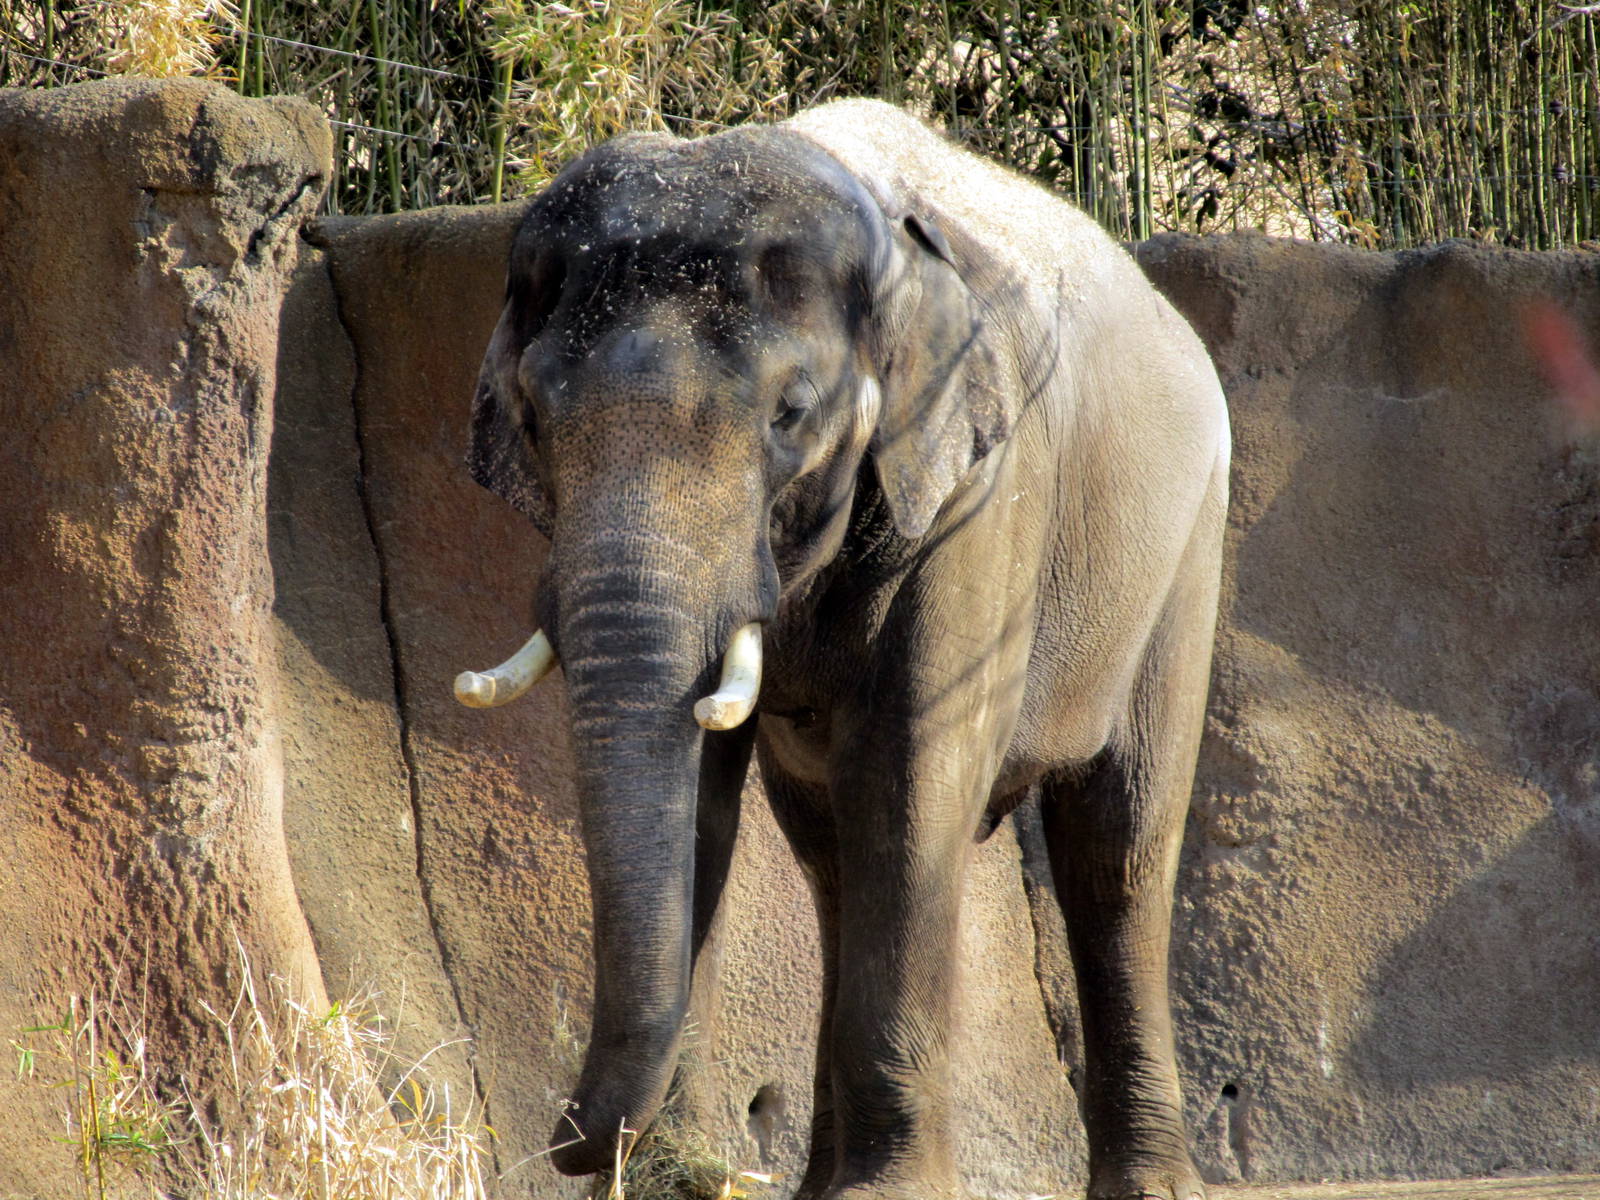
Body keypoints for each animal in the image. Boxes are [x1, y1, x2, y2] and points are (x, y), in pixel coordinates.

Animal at [458, 98, 1229, 1200]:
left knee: (1115, 846)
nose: (561, 1140)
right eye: (533, 417)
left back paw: (1146, 1187)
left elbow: (912, 774)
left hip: (1186, 546)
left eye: (790, 415)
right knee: (826, 854)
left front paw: (887, 1195)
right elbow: (708, 802)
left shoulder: (984, 490)